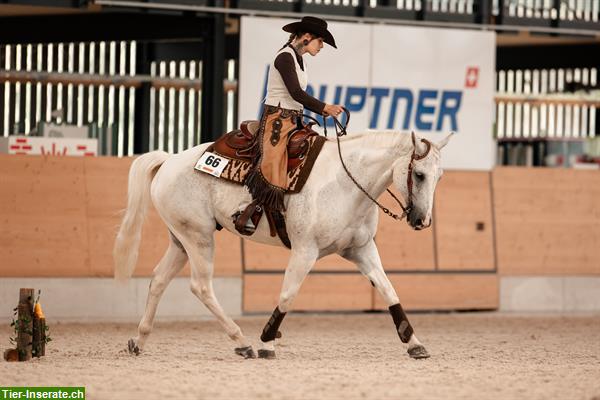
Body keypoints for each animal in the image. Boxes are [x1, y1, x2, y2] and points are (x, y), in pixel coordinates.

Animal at [113, 130, 450, 360]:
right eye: (420, 175)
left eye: (440, 176)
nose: (422, 221)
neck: (344, 183)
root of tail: (168, 160)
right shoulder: (305, 251)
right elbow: (288, 296)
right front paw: (266, 341)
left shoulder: (361, 250)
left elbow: (389, 291)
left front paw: (414, 343)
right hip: (199, 238)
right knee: (201, 286)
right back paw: (242, 342)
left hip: (181, 241)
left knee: (158, 280)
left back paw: (139, 341)